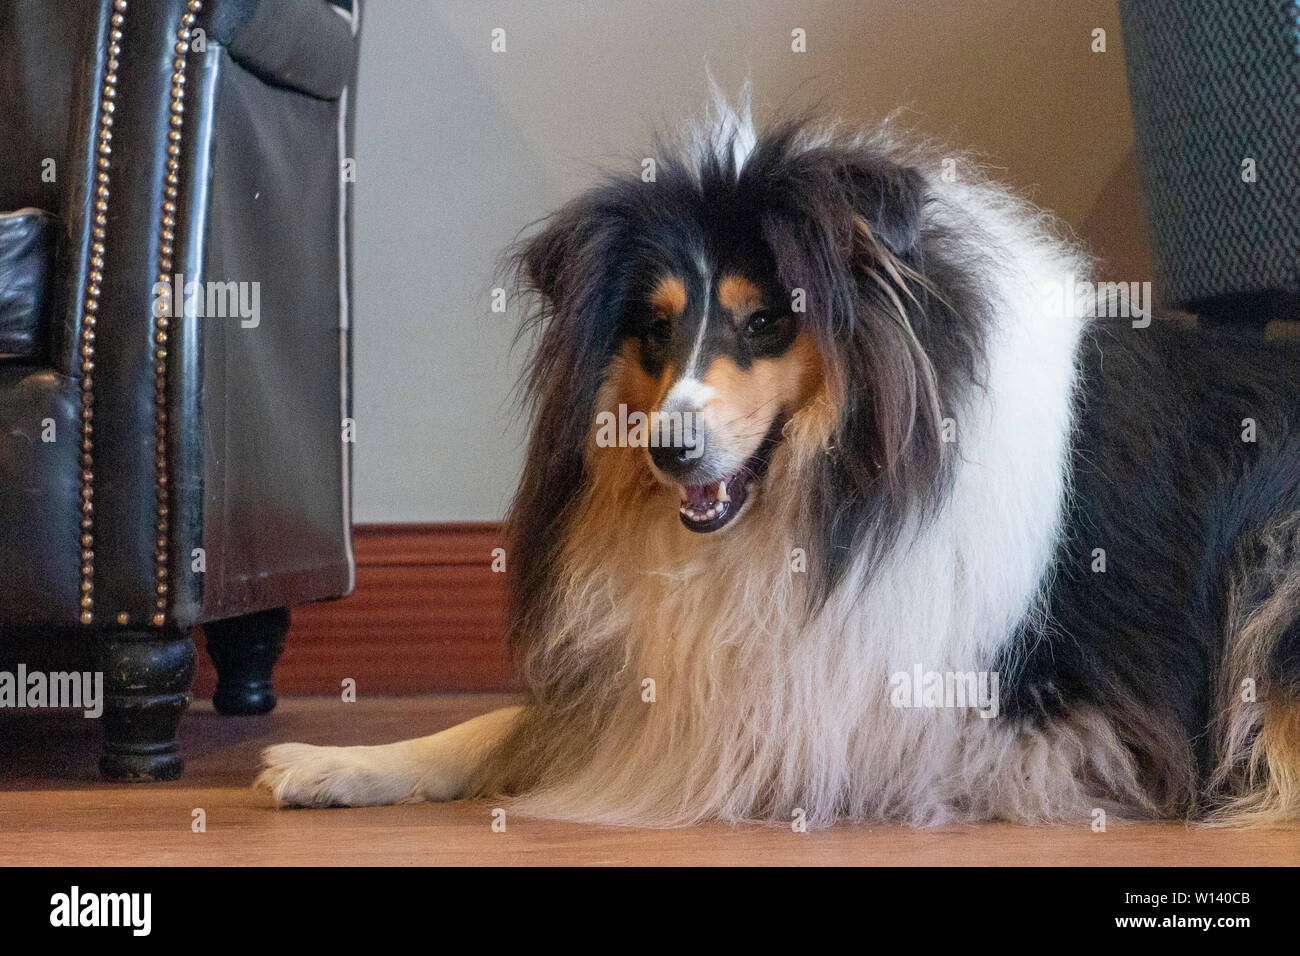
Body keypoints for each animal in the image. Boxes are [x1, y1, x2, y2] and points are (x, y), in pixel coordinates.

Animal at [258, 91, 1300, 822]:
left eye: (766, 322)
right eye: (654, 329)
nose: (671, 450)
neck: (828, 502)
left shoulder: (943, 706)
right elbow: (505, 721)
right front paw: (337, 763)